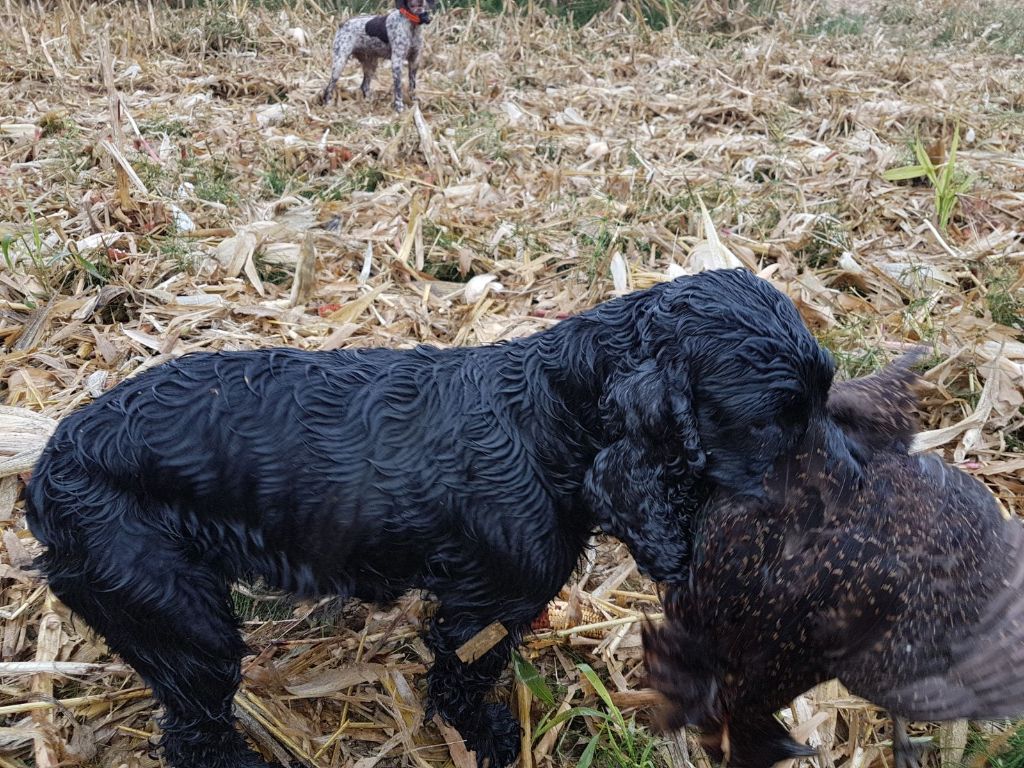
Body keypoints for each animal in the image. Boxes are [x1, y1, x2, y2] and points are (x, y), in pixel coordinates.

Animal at [28, 268, 843, 768]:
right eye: (773, 422)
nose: (855, 489)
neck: (551, 418)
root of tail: (46, 471)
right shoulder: (481, 605)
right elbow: (463, 680)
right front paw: (488, 736)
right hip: (186, 625)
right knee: (195, 732)